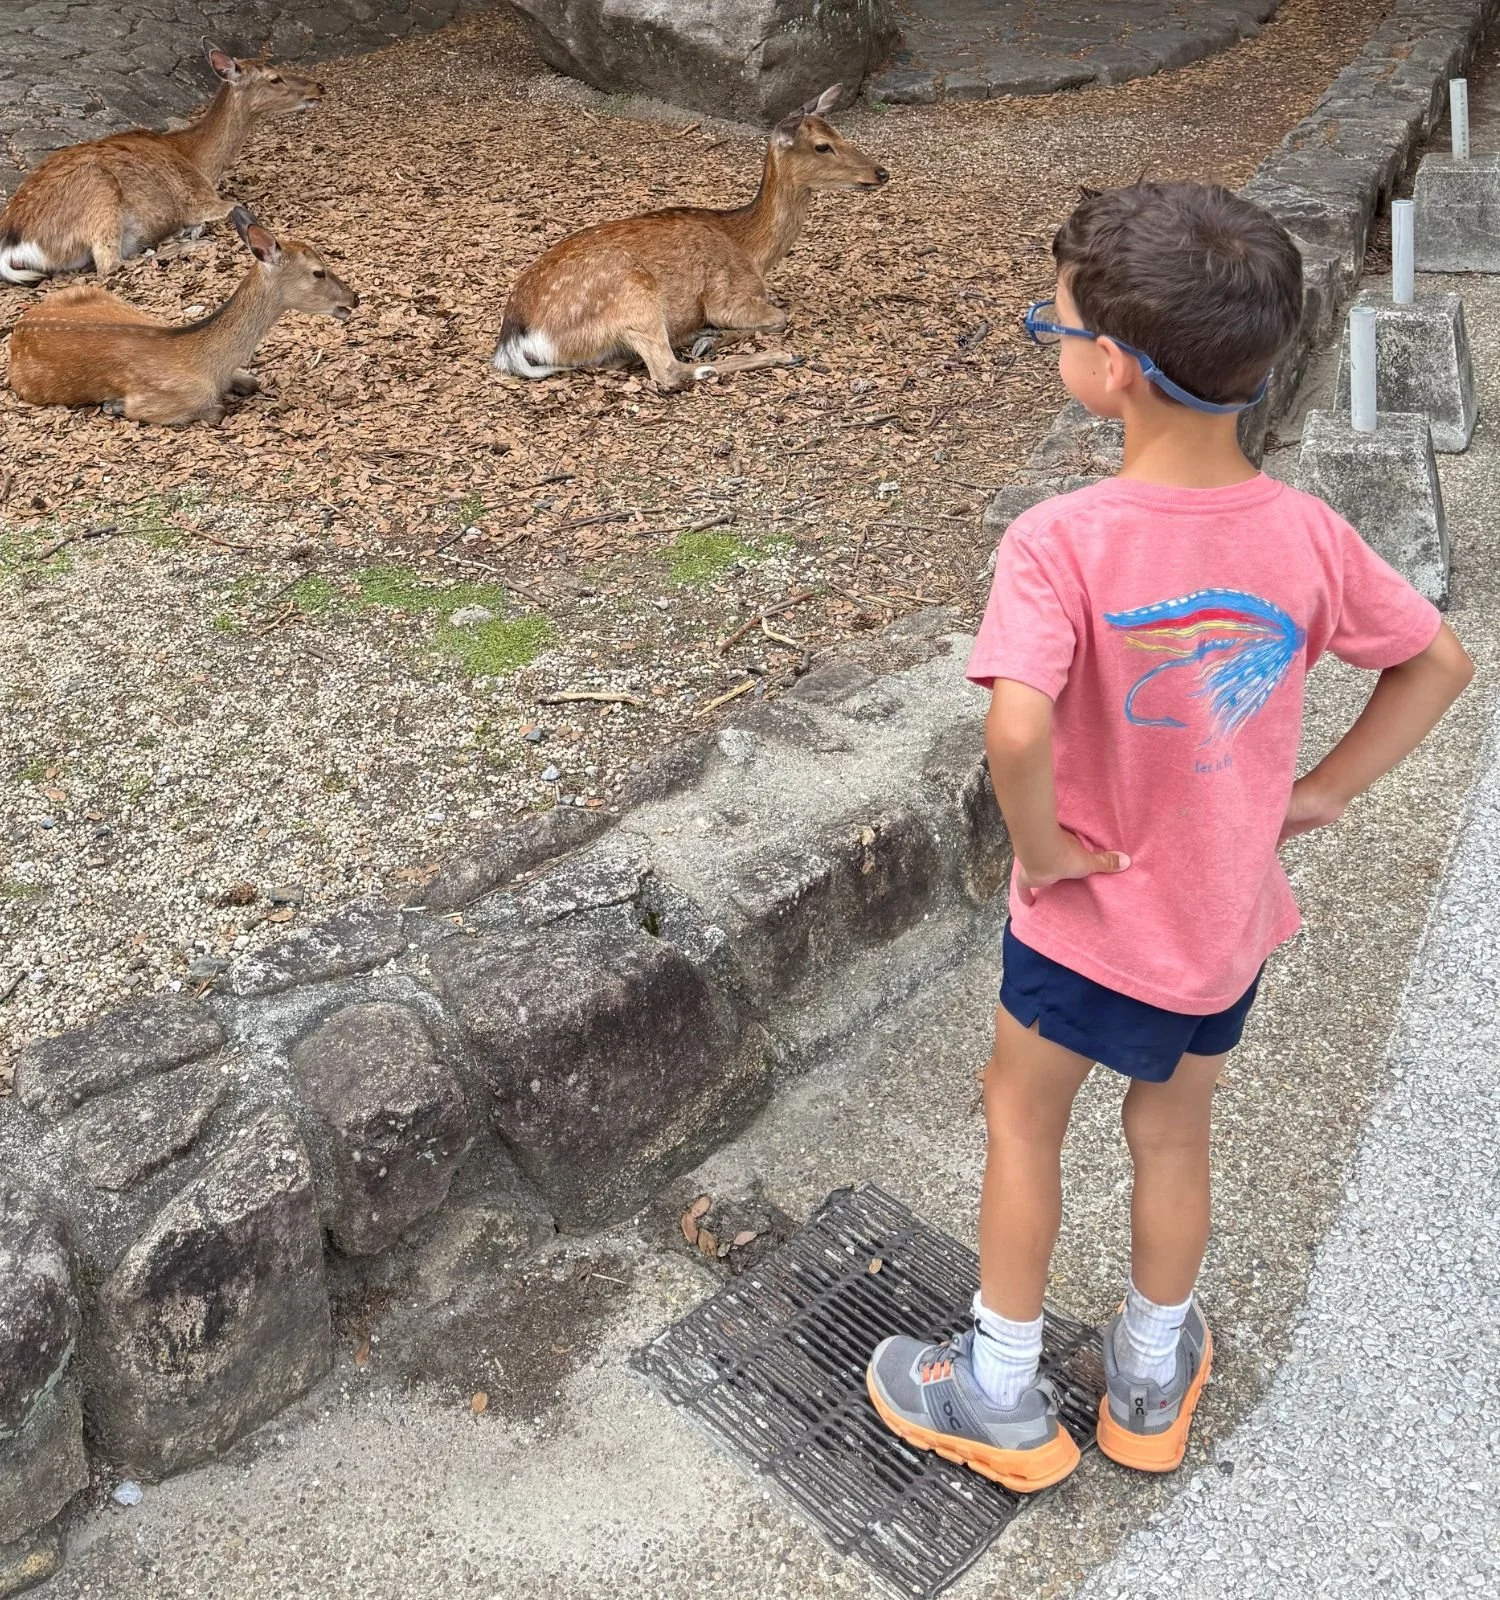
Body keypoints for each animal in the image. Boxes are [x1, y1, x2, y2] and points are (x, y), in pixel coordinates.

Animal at [0, 41, 324, 286]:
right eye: (275, 77)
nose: (318, 88)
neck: (199, 160)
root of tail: (13, 242)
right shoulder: (200, 199)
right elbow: (232, 206)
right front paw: (194, 229)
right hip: (98, 193)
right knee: (110, 265)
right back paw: (187, 242)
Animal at [7, 207, 358, 426]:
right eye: (318, 272)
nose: (353, 298)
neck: (207, 365)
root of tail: (18, 329)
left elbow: (251, 381)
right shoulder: (162, 400)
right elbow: (215, 410)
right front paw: (115, 405)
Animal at [491, 85, 888, 393]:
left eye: (840, 134)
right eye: (823, 145)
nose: (881, 171)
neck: (752, 250)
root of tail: (514, 339)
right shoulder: (728, 297)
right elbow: (779, 318)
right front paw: (714, 338)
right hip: (632, 295)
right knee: (668, 372)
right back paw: (767, 354)